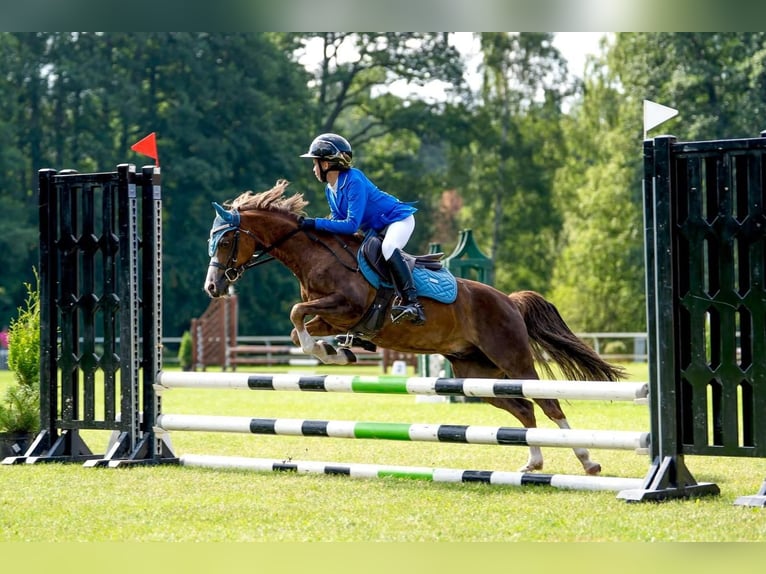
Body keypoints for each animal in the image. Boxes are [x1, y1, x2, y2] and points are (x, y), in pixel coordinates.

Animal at [203, 179, 626, 475]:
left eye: (224, 241)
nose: (213, 287)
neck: (316, 257)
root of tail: (508, 300)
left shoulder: (347, 306)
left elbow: (295, 313)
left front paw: (331, 350)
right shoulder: (332, 315)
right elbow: (298, 328)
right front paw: (334, 352)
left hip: (512, 357)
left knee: (547, 402)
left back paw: (587, 461)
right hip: (475, 372)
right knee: (523, 408)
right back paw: (534, 463)